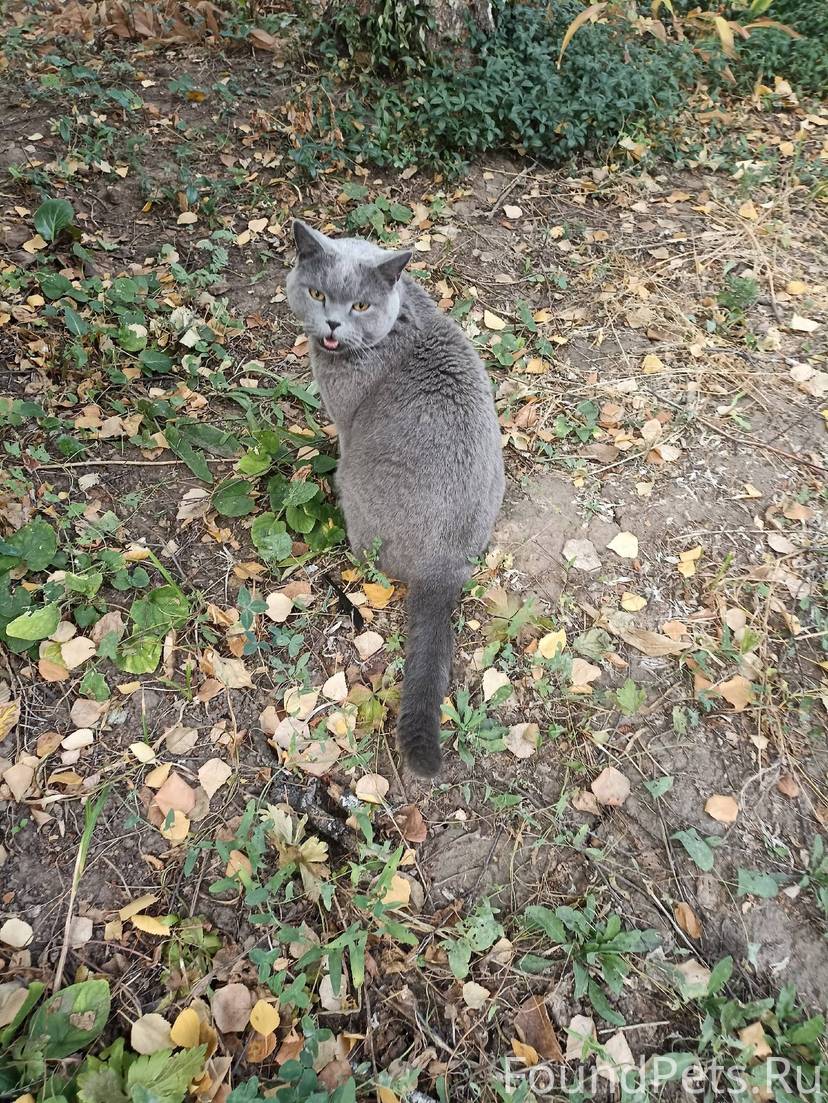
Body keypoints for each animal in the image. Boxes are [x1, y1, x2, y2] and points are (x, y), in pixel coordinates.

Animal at [287, 219, 504, 776]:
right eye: (317, 294)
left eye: (361, 305)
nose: (333, 324)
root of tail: (445, 564)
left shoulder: (344, 420)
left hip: (357, 491)